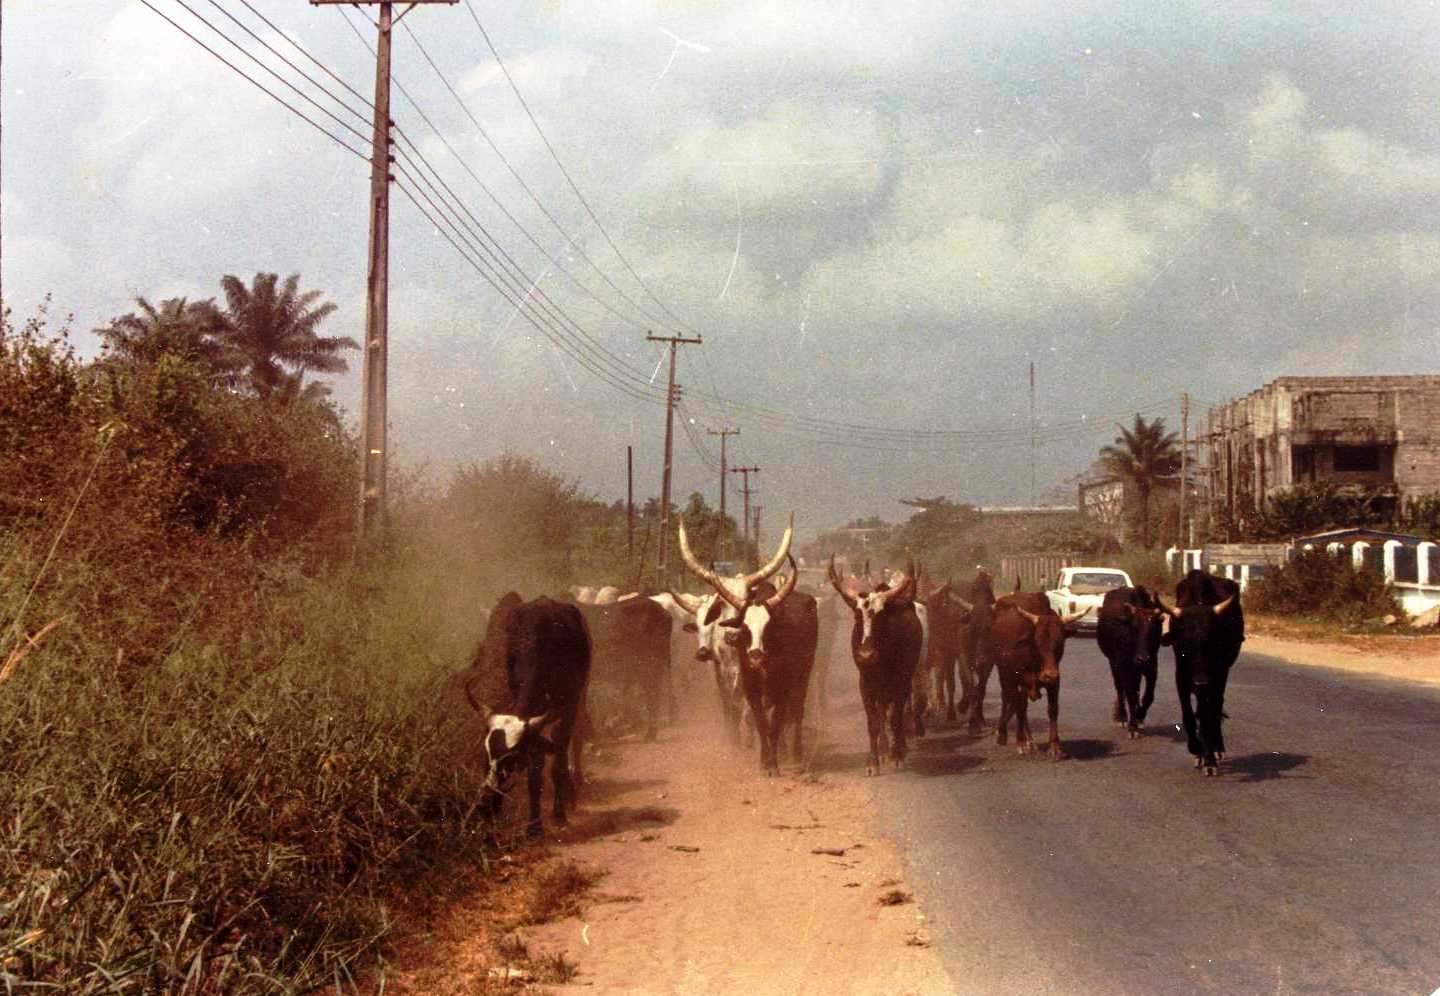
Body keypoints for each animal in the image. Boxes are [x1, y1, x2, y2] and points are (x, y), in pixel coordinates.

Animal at [466, 595, 590, 834]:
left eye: (512, 757)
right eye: (486, 754)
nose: (485, 801)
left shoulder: (567, 707)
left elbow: (557, 763)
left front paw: (556, 816)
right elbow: (536, 769)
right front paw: (534, 826)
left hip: (582, 696)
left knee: (577, 737)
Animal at [829, 555, 927, 771]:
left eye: (881, 616)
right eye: (857, 615)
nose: (866, 655)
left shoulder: (900, 681)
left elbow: (896, 717)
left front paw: (897, 755)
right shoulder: (865, 684)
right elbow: (873, 722)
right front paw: (873, 760)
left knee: (898, 712)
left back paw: (899, 747)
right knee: (882, 713)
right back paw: (884, 748)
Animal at [1094, 584, 1163, 736]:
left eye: (1153, 629)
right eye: (1134, 628)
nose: (1142, 658)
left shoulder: (1152, 665)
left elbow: (1149, 695)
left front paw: (1140, 716)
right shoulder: (1124, 664)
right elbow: (1129, 693)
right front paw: (1132, 726)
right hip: (1114, 662)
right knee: (1120, 688)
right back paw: (1122, 717)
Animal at [1157, 572, 1249, 771]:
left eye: (1212, 642)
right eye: (1184, 645)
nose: (1200, 682)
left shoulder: (1217, 677)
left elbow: (1211, 715)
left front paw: (1210, 759)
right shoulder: (1181, 676)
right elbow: (1189, 715)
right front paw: (1196, 748)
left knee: (1214, 708)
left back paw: (1216, 747)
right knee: (1201, 710)